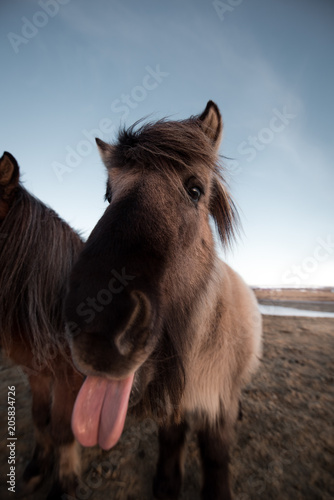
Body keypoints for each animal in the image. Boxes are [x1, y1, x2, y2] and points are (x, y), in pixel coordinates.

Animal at [66, 101, 264, 500]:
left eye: (195, 189)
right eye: (108, 194)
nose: (98, 328)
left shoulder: (218, 406)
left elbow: (215, 454)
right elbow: (172, 438)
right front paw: (167, 483)